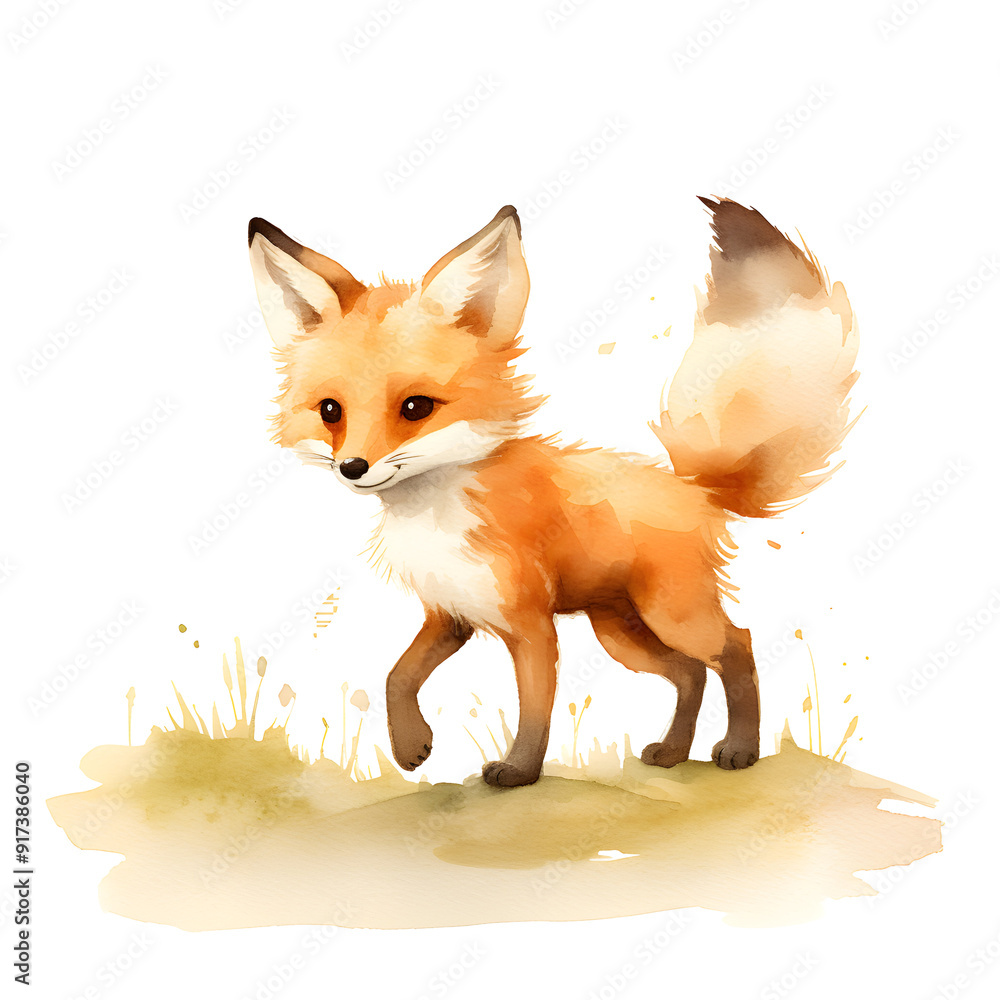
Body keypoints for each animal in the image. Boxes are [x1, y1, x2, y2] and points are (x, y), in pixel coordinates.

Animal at [247, 198, 858, 788]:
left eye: (416, 407)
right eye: (331, 411)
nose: (353, 467)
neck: (435, 513)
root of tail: (693, 487)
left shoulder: (531, 622)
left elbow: (535, 708)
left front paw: (519, 773)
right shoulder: (452, 612)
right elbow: (397, 676)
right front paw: (411, 747)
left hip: (672, 616)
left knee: (738, 646)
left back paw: (739, 750)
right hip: (621, 633)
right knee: (689, 673)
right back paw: (671, 753)